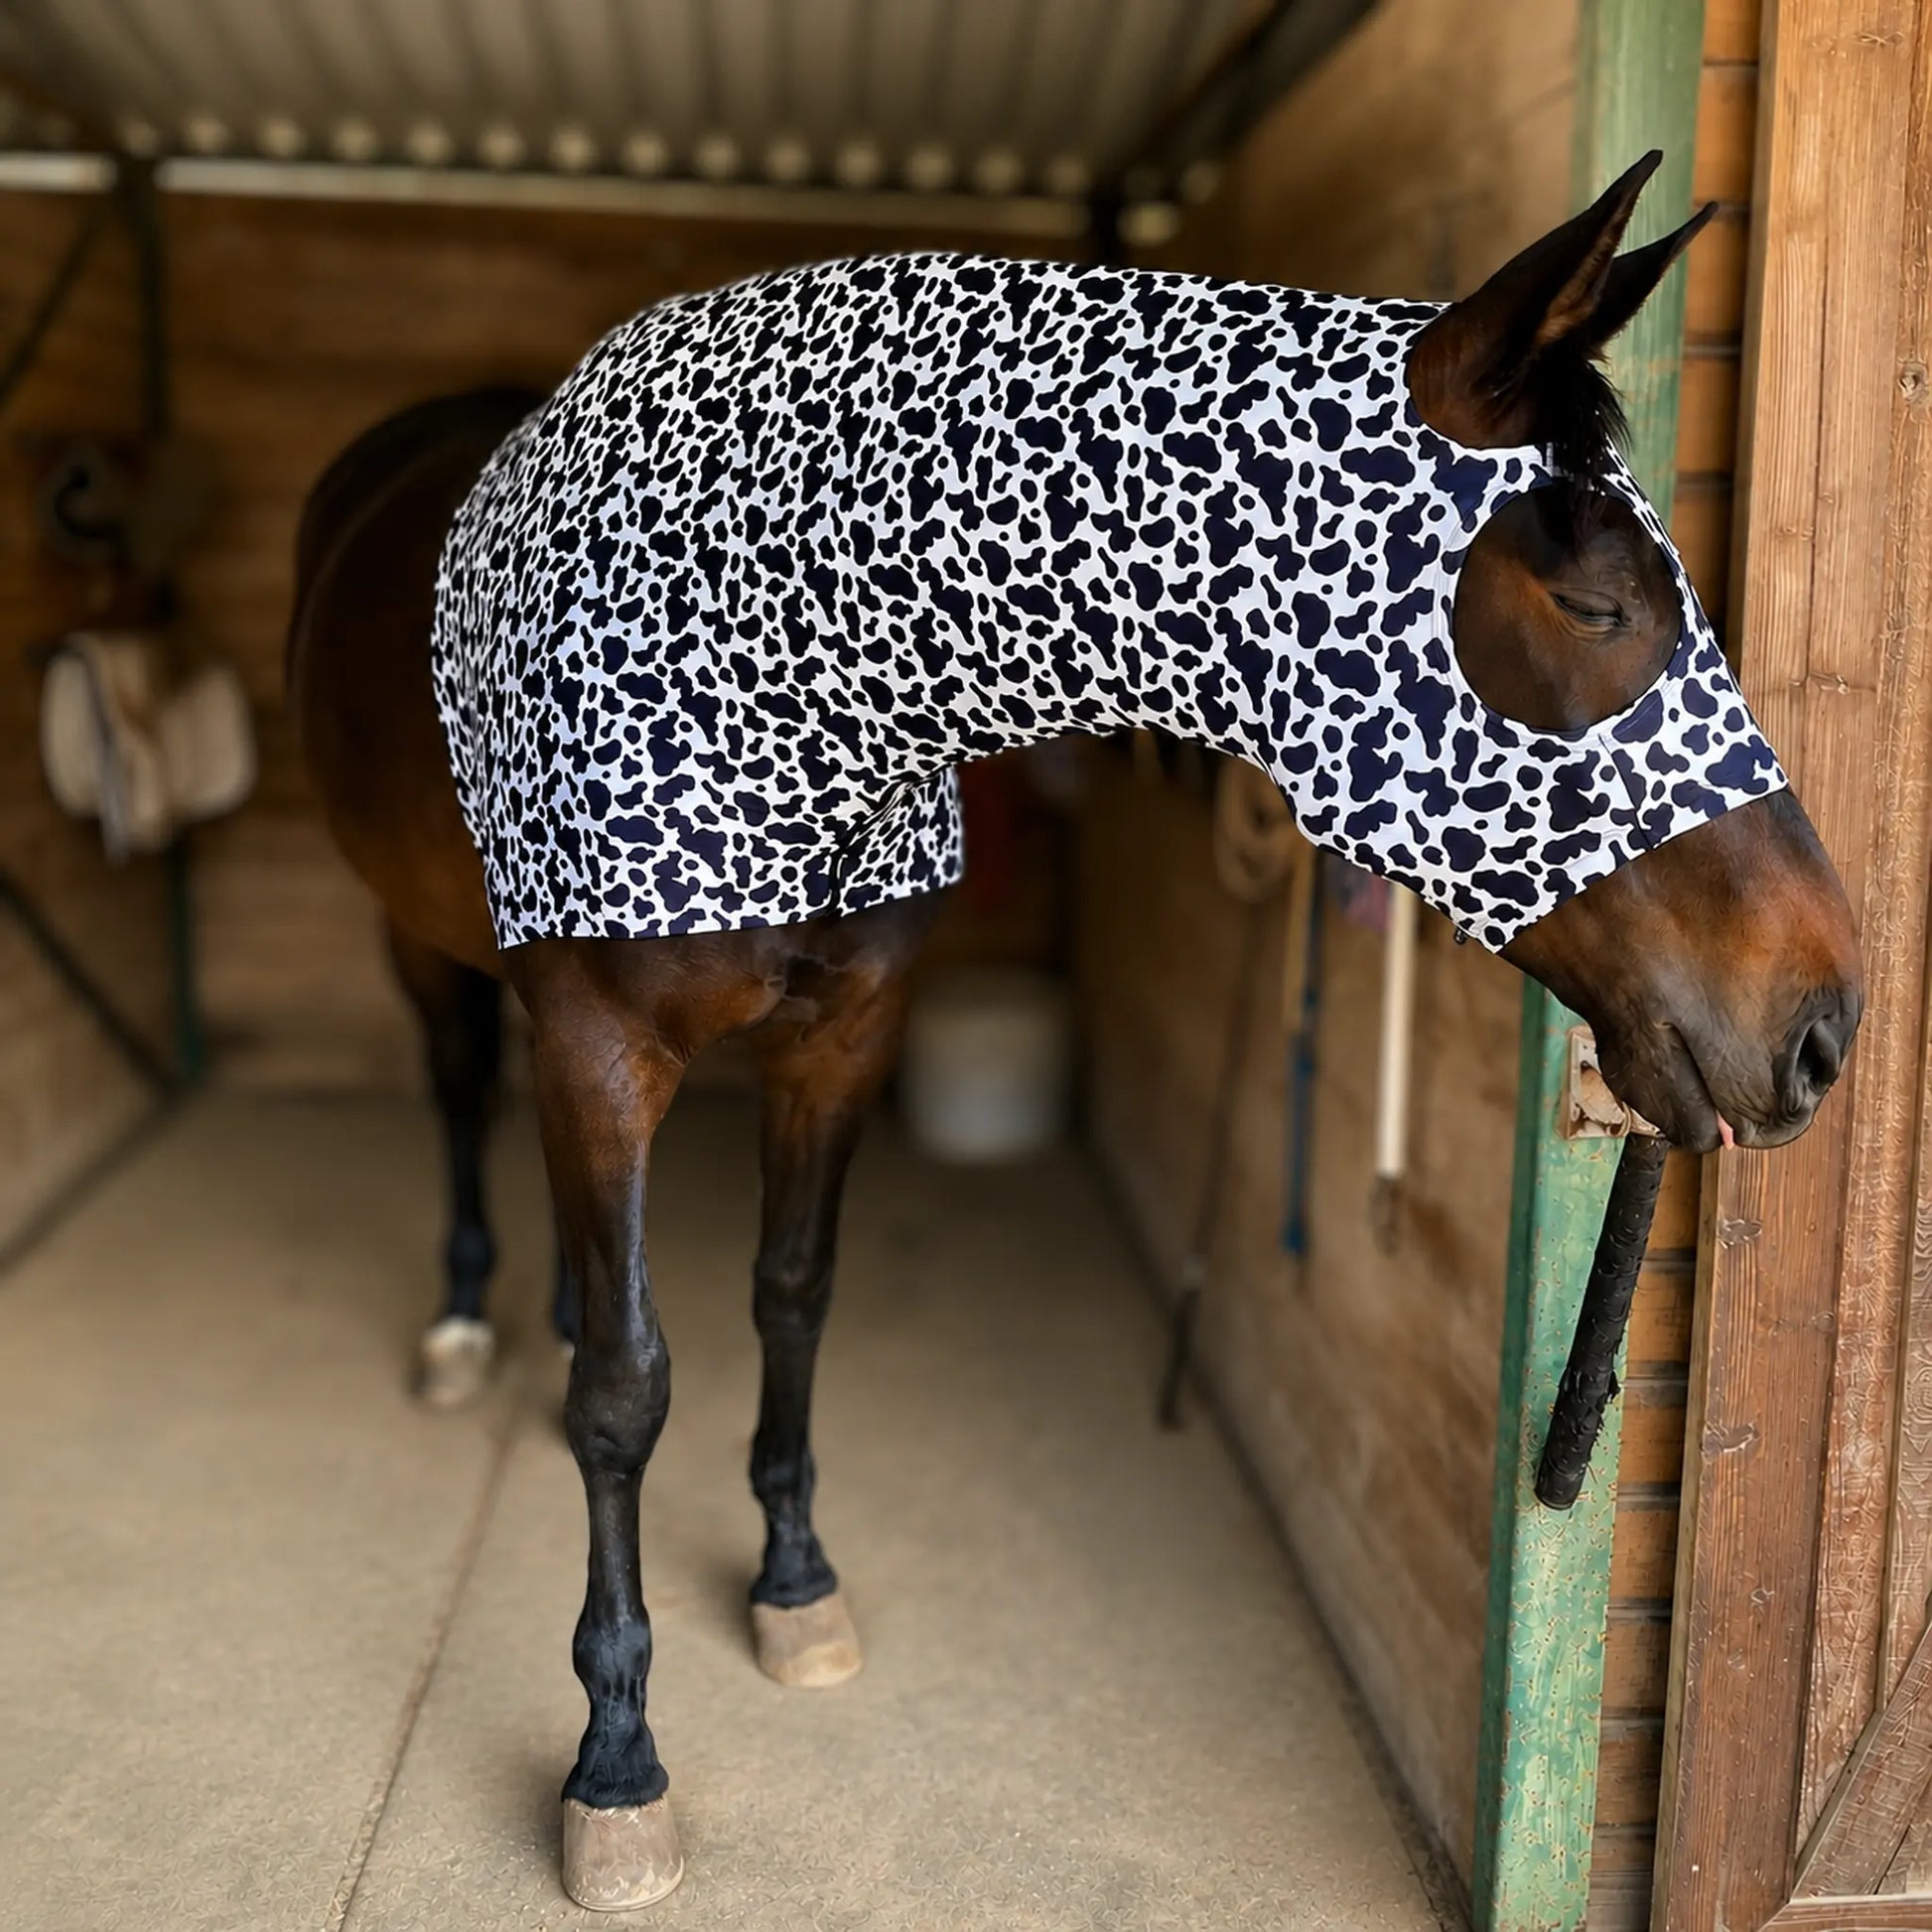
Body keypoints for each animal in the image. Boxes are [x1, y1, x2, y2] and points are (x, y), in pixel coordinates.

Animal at [288, 154, 1861, 1909]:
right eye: (1595, 601)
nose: (1822, 1021)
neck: (779, 657)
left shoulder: (842, 1039)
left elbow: (790, 1296)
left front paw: (792, 1580)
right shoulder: (602, 1054)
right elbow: (628, 1392)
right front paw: (617, 1760)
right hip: (425, 944)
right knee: (454, 1090)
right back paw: (463, 1318)